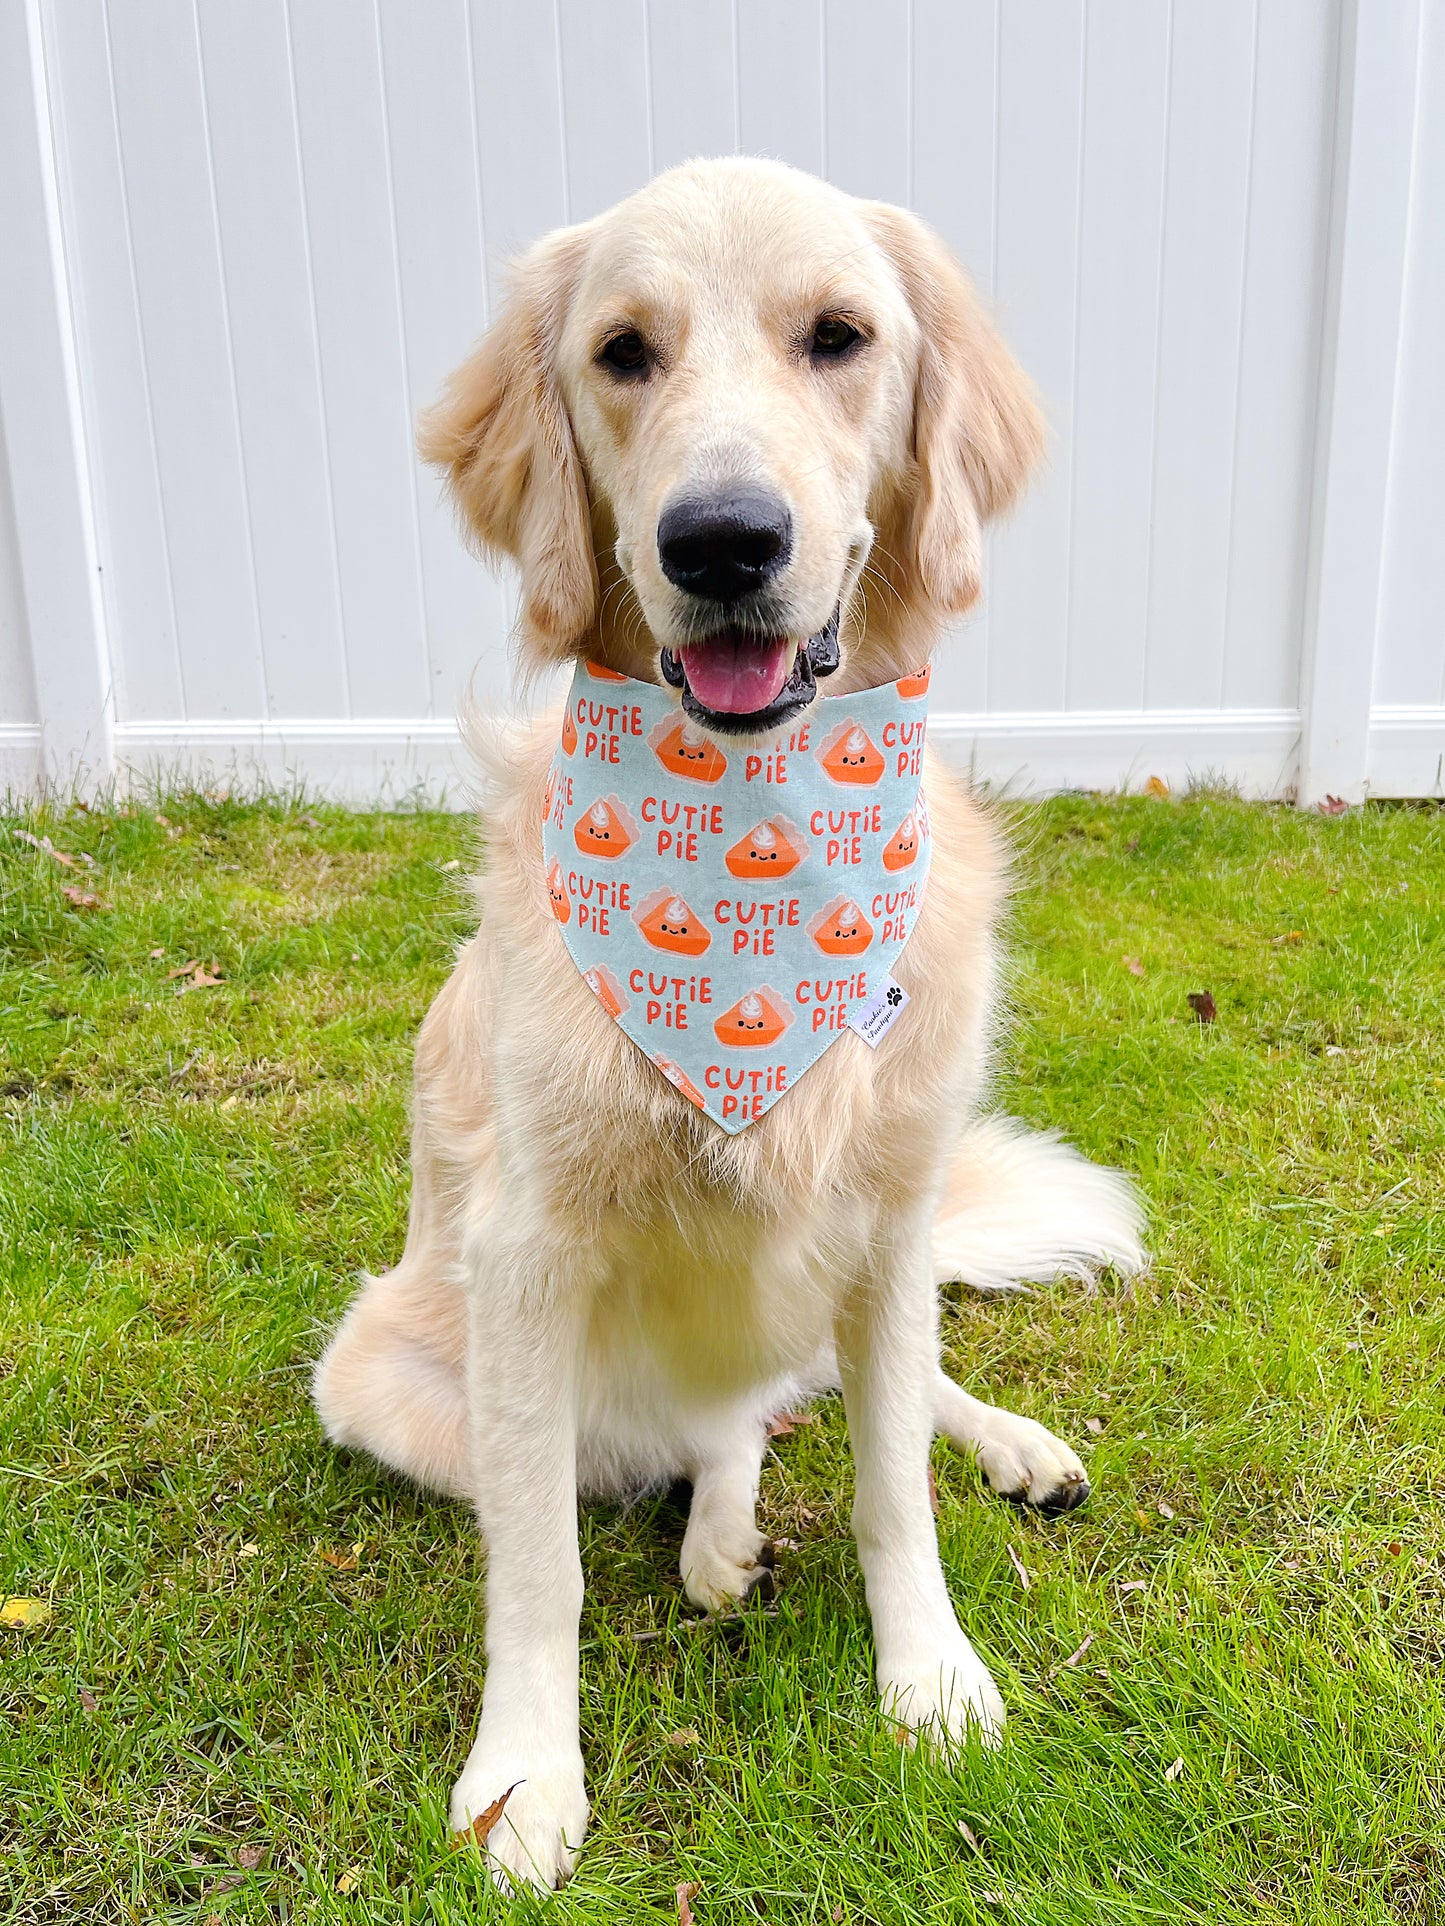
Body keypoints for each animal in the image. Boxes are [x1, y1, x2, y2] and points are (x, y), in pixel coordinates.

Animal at [314, 154, 1140, 1895]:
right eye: (623, 352)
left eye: (839, 336)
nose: (722, 540)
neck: (752, 807)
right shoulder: (524, 1255)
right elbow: (537, 1569)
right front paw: (523, 1776)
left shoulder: (887, 1217)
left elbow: (895, 1482)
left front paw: (932, 1678)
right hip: (386, 1375)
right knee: (719, 1426)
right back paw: (718, 1531)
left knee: (821, 1395)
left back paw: (1003, 1445)